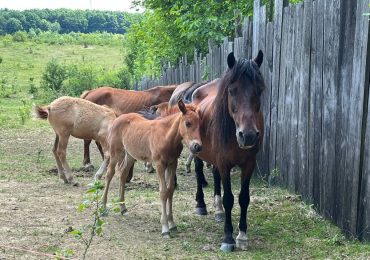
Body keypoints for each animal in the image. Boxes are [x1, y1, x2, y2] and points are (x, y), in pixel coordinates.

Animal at [101, 99, 202, 238]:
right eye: (188, 123)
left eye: (200, 124)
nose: (197, 146)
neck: (166, 136)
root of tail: (118, 118)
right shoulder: (160, 164)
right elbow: (163, 192)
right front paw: (165, 228)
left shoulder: (172, 164)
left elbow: (170, 190)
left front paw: (172, 223)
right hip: (116, 152)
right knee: (109, 174)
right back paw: (103, 207)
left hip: (130, 154)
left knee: (123, 172)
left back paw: (123, 208)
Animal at [168, 50, 266, 252]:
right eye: (231, 90)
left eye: (259, 90)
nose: (248, 135)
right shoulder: (224, 163)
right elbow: (229, 198)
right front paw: (228, 238)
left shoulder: (248, 164)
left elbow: (244, 198)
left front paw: (242, 235)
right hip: (198, 150)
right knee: (199, 171)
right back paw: (201, 204)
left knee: (214, 175)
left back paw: (218, 210)